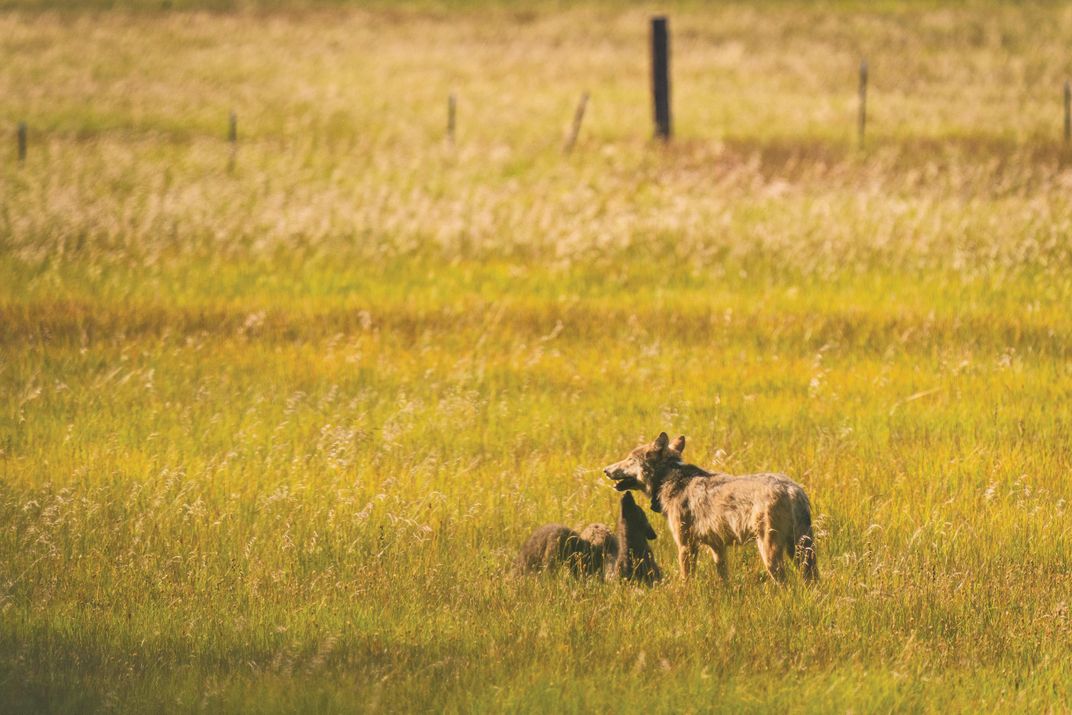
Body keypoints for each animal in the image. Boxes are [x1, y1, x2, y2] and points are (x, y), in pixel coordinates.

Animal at [604, 433, 819, 583]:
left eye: (629, 459)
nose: (605, 470)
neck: (670, 478)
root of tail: (792, 488)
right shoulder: (718, 547)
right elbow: (723, 579)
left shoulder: (686, 546)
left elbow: (686, 581)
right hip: (802, 552)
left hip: (771, 554)